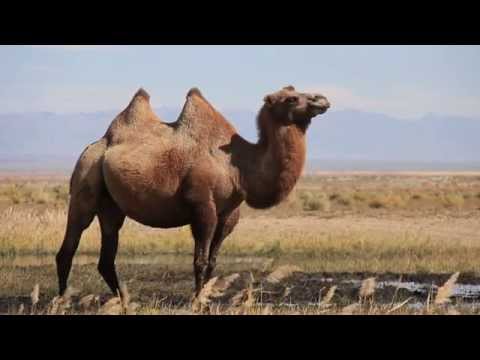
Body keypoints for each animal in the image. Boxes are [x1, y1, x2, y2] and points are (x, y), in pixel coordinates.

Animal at [54, 86, 328, 296]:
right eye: (291, 98)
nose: (322, 100)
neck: (238, 166)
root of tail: (96, 145)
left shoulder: (228, 214)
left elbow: (213, 262)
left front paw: (205, 297)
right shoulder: (202, 206)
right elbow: (200, 260)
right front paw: (196, 301)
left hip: (111, 205)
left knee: (106, 256)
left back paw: (124, 300)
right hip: (85, 179)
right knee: (68, 247)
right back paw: (63, 299)